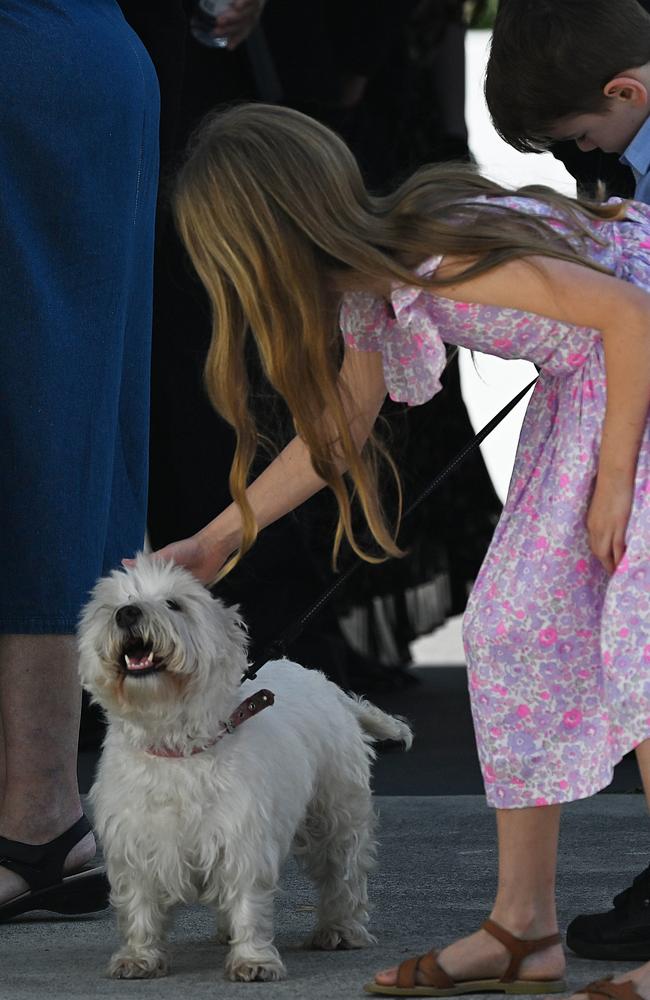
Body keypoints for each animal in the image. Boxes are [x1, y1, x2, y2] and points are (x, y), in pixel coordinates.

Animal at [77, 560, 410, 980]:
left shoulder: (242, 835)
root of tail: (328, 686)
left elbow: (248, 898)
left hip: (335, 811)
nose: (127, 614)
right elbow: (139, 902)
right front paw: (138, 957)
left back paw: (340, 931)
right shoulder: (134, 842)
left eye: (173, 603)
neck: (175, 745)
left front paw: (254, 961)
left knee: (344, 871)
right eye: (113, 604)